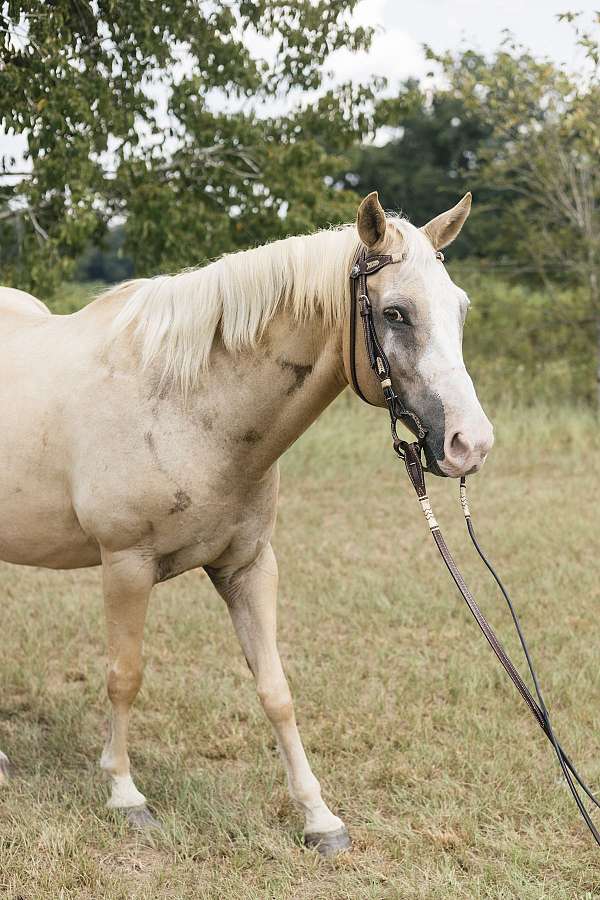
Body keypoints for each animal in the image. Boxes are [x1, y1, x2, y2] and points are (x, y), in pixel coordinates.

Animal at [0, 191, 493, 856]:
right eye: (396, 313)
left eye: (459, 309)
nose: (472, 443)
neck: (185, 401)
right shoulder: (125, 565)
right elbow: (124, 676)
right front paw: (126, 795)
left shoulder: (248, 566)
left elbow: (276, 691)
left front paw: (318, 818)